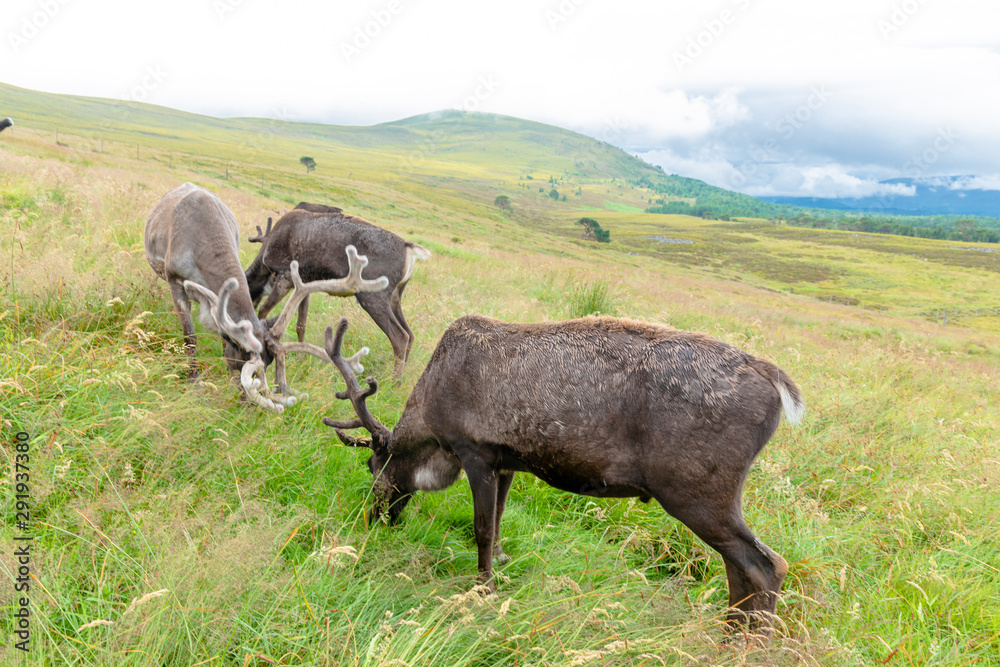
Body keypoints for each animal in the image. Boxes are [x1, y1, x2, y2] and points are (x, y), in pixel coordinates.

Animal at [144, 183, 388, 411]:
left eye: (269, 365)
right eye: (245, 364)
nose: (249, 403)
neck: (205, 241)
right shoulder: (174, 278)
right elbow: (190, 335)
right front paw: (193, 381)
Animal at [242, 203, 431, 375]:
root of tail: (408, 248)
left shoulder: (285, 276)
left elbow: (263, 312)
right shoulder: (303, 285)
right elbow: (301, 324)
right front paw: (301, 359)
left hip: (373, 295)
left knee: (400, 337)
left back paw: (395, 383)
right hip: (395, 297)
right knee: (410, 334)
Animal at [321, 314, 805, 631]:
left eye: (372, 464)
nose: (373, 519)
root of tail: (776, 382)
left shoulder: (475, 451)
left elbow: (481, 528)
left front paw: (483, 592)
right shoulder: (507, 461)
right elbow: (499, 523)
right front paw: (500, 566)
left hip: (697, 493)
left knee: (767, 565)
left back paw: (748, 643)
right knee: (740, 569)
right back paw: (729, 635)